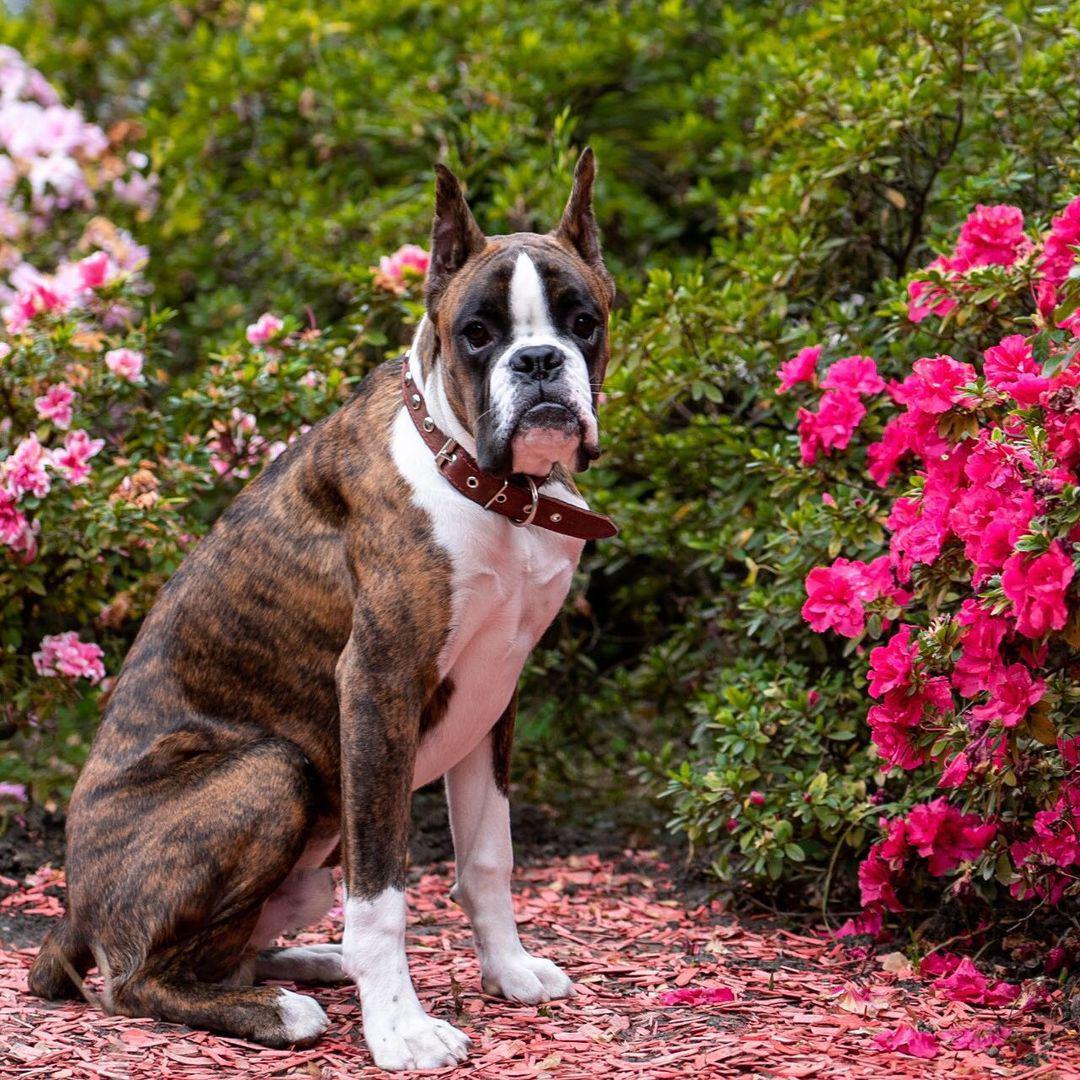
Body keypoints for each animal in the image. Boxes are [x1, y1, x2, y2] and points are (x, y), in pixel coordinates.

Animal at [27, 152, 617, 1071]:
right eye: (477, 334)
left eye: (582, 321)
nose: (539, 364)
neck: (481, 480)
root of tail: (74, 909)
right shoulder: (377, 685)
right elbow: (382, 890)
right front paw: (401, 1029)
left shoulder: (497, 695)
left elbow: (489, 855)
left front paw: (509, 971)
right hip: (275, 773)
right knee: (134, 980)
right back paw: (278, 1011)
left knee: (221, 950)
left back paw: (309, 964)